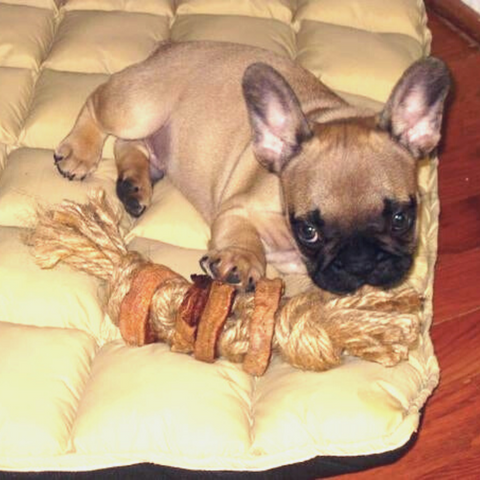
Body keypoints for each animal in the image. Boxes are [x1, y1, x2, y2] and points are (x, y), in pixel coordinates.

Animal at [53, 41, 450, 294]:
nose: (360, 261)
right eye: (309, 231)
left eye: (401, 219)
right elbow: (241, 236)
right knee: (97, 107)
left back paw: (134, 186)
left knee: (130, 146)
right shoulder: (237, 209)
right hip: (139, 108)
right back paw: (80, 152)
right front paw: (241, 260)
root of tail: (169, 49)